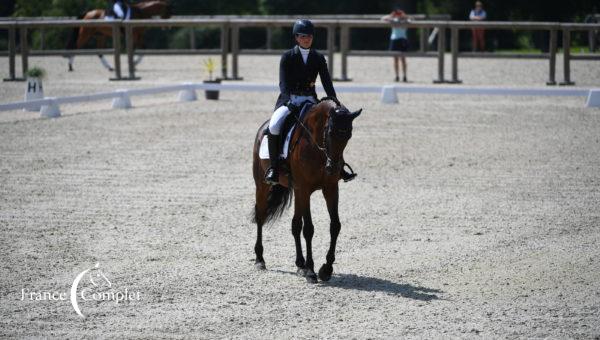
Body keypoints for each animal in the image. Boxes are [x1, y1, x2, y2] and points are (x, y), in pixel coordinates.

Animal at [252, 99, 360, 284]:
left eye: (348, 135)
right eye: (330, 132)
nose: (332, 168)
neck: (316, 146)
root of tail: (263, 128)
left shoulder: (330, 189)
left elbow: (335, 225)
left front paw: (326, 269)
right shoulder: (305, 189)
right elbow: (309, 229)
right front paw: (311, 270)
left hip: (297, 192)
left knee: (295, 225)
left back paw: (299, 264)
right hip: (262, 185)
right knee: (260, 216)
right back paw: (260, 259)